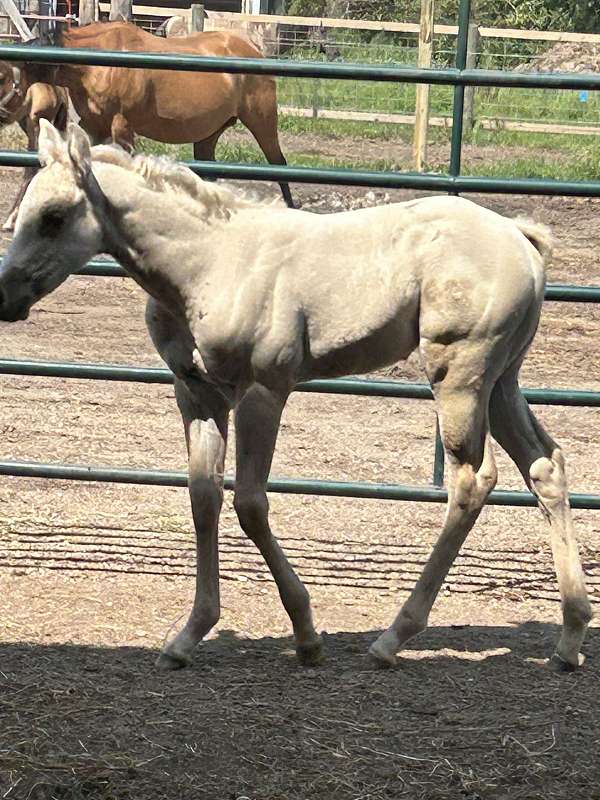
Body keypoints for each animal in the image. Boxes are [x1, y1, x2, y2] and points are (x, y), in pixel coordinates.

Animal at [0, 120, 591, 673]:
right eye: (22, 209)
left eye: (53, 216)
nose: (5, 297)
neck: (209, 263)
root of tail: (519, 236)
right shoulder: (197, 396)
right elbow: (203, 498)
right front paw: (189, 635)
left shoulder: (263, 391)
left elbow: (250, 503)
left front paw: (307, 636)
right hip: (502, 380)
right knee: (545, 466)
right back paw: (569, 637)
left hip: (460, 377)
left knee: (473, 480)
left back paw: (393, 638)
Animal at [21, 20, 295, 208]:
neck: (96, 63)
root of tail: (255, 51)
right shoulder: (94, 127)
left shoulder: (122, 126)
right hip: (208, 136)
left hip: (262, 121)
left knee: (279, 165)